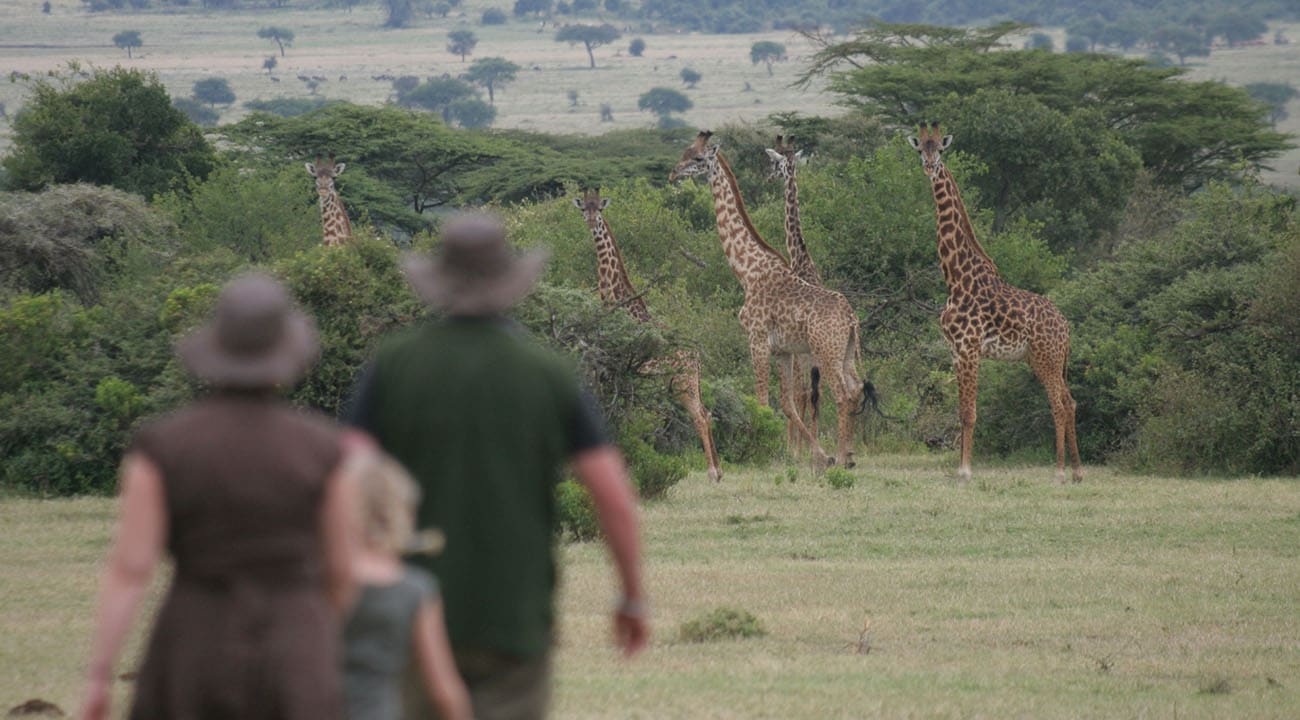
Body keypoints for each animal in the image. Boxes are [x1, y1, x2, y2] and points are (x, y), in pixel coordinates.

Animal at [574, 189, 728, 480]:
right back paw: (719, 470)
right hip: (684, 383)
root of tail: (696, 356)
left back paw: (712, 472)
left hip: (683, 383)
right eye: (583, 208)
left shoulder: (624, 368)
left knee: (700, 416)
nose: (590, 221)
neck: (617, 301)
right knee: (707, 412)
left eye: (599, 208)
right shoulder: (615, 369)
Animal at [670, 131, 873, 467]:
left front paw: (766, 452)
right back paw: (847, 455)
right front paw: (812, 454)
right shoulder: (783, 351)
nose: (673, 173)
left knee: (842, 395)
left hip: (826, 352)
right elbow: (787, 402)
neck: (746, 269)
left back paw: (844, 457)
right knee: (854, 389)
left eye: (698, 158)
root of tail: (851, 319)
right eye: (684, 152)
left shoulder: (757, 339)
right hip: (843, 353)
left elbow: (763, 401)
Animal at [909, 123, 1081, 480]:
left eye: (940, 150)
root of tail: (1066, 327)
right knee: (1070, 401)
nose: (930, 167)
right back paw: (1076, 472)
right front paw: (960, 468)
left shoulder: (970, 348)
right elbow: (961, 411)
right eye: (920, 149)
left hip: (1046, 358)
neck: (955, 279)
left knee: (1058, 404)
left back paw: (1059, 472)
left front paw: (965, 471)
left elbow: (970, 413)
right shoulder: (955, 351)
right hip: (1044, 359)